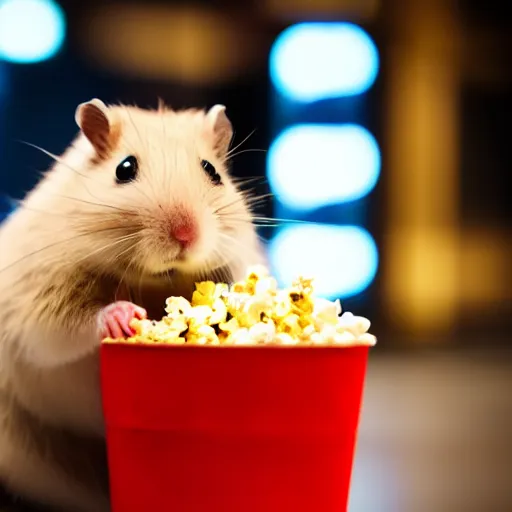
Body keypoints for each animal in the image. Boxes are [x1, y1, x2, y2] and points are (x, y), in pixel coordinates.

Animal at [0, 98, 264, 510]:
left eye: (213, 172)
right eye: (124, 169)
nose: (185, 235)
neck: (153, 280)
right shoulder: (40, 296)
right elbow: (66, 329)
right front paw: (125, 315)